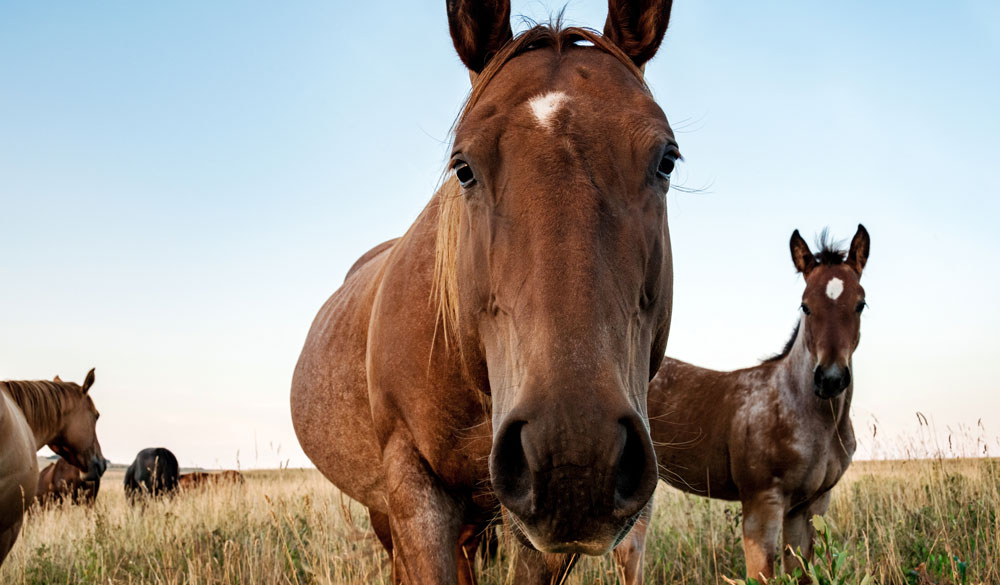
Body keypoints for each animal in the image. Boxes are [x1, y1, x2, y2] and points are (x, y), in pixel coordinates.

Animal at [614, 225, 871, 583]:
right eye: (805, 306)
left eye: (861, 304)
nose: (830, 379)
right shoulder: (761, 502)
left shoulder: (810, 506)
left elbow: (801, 572)